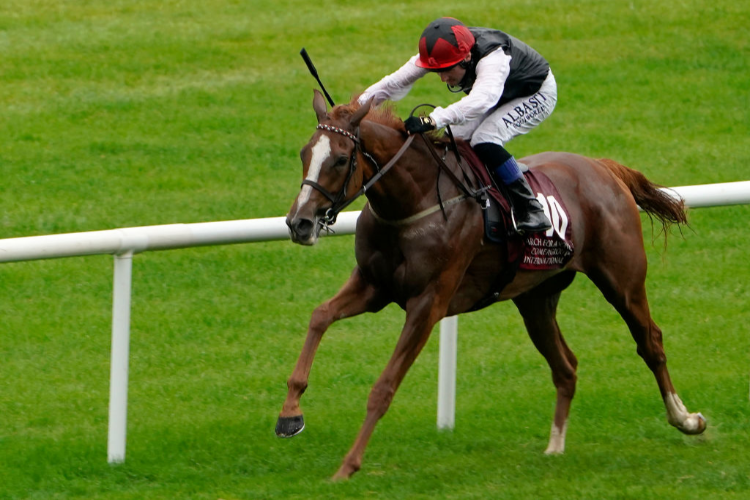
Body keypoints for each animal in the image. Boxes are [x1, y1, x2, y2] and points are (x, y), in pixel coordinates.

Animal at [280, 91, 708, 480]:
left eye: (339, 159)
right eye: (304, 154)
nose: (299, 223)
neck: (415, 201)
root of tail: (603, 168)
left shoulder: (428, 304)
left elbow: (383, 388)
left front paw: (347, 466)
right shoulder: (373, 286)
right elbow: (320, 316)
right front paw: (289, 416)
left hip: (622, 279)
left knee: (650, 341)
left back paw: (686, 419)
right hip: (536, 298)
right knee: (566, 365)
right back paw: (555, 445)